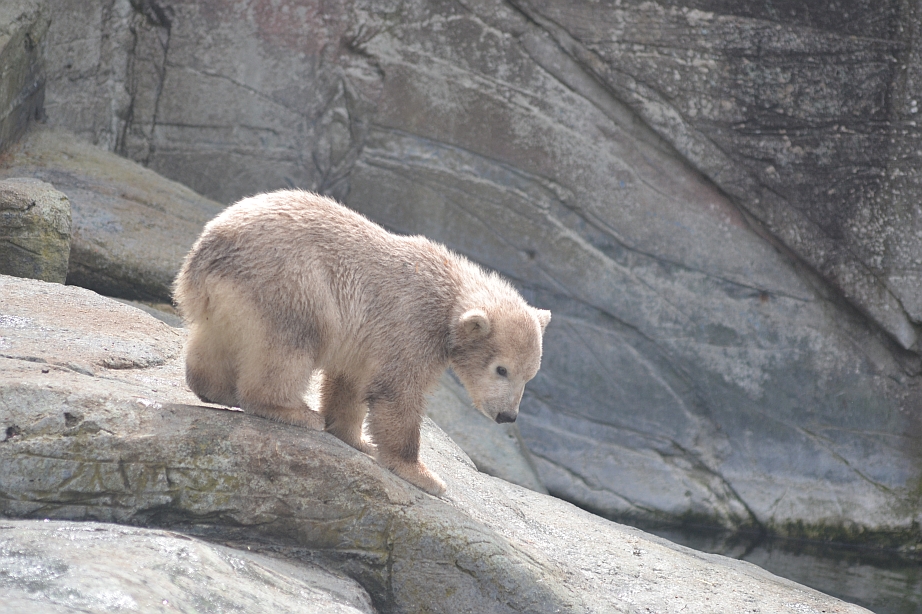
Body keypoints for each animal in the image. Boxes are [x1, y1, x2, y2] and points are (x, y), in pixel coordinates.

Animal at [173, 189, 550, 495]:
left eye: (529, 376)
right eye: (502, 369)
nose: (507, 415)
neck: (450, 294)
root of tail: (210, 248)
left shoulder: (369, 338)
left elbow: (352, 382)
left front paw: (358, 440)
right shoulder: (412, 325)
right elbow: (397, 392)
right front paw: (424, 475)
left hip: (229, 298)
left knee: (215, 340)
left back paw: (217, 389)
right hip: (292, 283)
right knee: (290, 346)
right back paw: (293, 411)